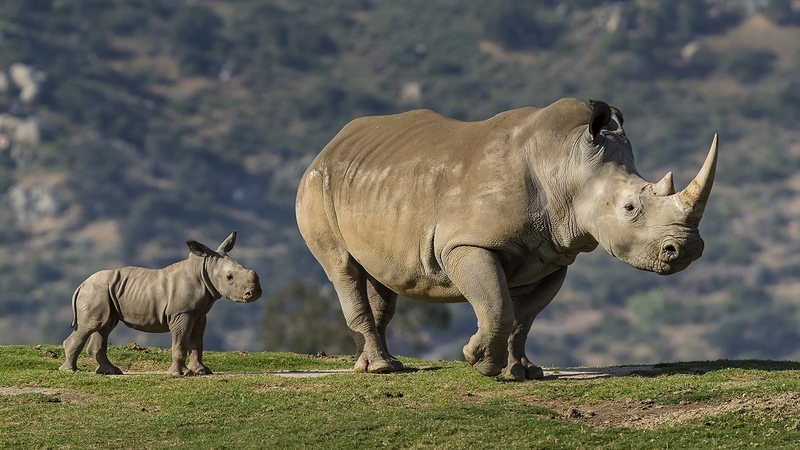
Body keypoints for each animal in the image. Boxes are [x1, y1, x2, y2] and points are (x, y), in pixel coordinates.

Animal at [59, 231, 262, 375]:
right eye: (229, 277)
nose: (254, 294)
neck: (202, 269)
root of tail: (81, 284)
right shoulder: (181, 313)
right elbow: (181, 341)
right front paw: (181, 374)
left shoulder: (199, 314)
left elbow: (197, 343)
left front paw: (202, 372)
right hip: (95, 292)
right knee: (90, 326)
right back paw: (70, 371)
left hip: (105, 293)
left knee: (104, 327)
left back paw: (111, 372)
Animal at [295, 98, 718, 381]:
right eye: (630, 207)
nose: (688, 249)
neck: (566, 162)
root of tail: (330, 145)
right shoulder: (466, 244)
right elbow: (498, 306)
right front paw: (479, 361)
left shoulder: (554, 256)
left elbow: (524, 317)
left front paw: (524, 373)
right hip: (316, 185)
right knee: (342, 268)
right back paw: (380, 369)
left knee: (381, 277)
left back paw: (383, 364)